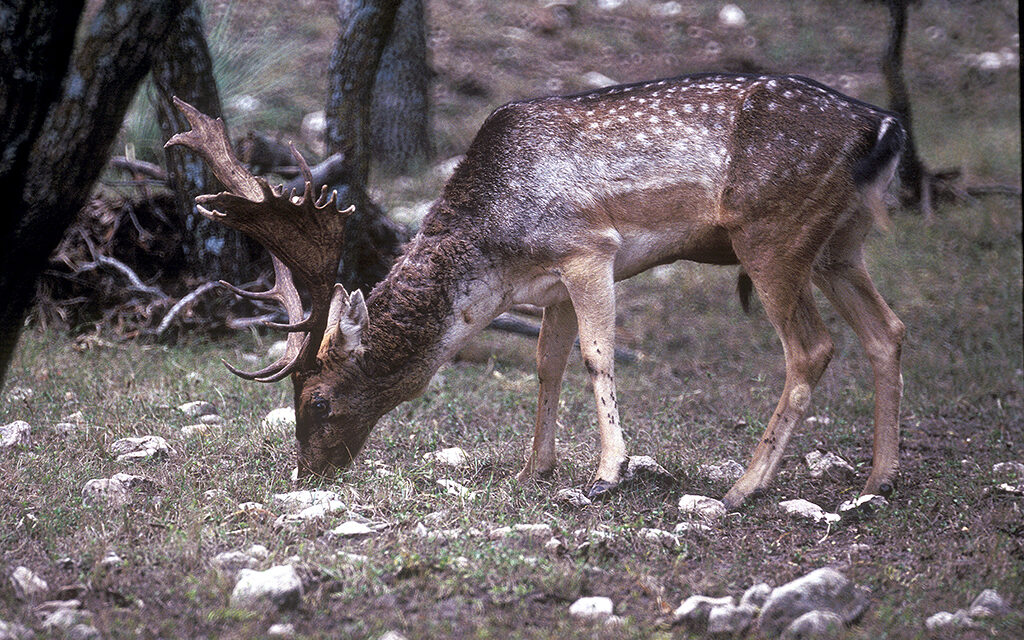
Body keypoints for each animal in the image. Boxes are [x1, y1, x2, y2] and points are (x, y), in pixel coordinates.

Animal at [167, 71, 905, 509]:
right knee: (887, 330)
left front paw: (606, 474)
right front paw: (535, 470)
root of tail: (885, 128)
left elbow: (596, 357)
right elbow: (547, 365)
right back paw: (879, 478)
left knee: (811, 348)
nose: (307, 474)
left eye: (317, 401)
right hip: (840, 244)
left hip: (772, 234)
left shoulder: (589, 248)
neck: (499, 257)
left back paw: (744, 487)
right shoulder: (548, 284)